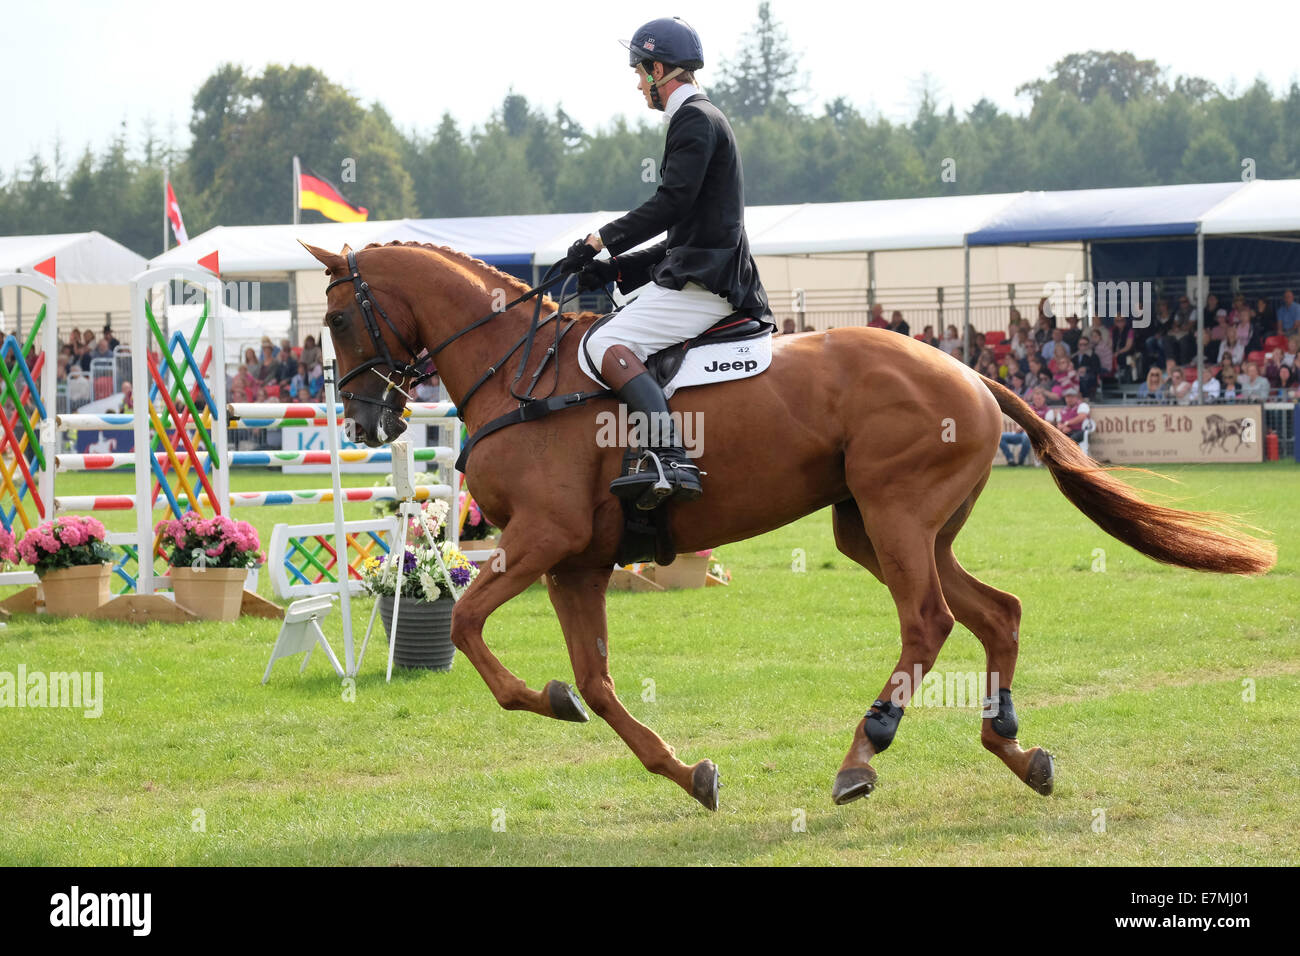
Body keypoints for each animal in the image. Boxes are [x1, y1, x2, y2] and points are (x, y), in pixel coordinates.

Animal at [299, 243, 1274, 811]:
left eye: (339, 316)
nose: (369, 420)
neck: (519, 374)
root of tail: (969, 371)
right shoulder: (578, 563)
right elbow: (601, 685)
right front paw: (683, 770)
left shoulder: (545, 539)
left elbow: (468, 624)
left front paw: (548, 701)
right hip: (880, 529)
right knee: (996, 612)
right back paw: (1013, 747)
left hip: (895, 515)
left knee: (930, 622)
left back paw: (865, 753)